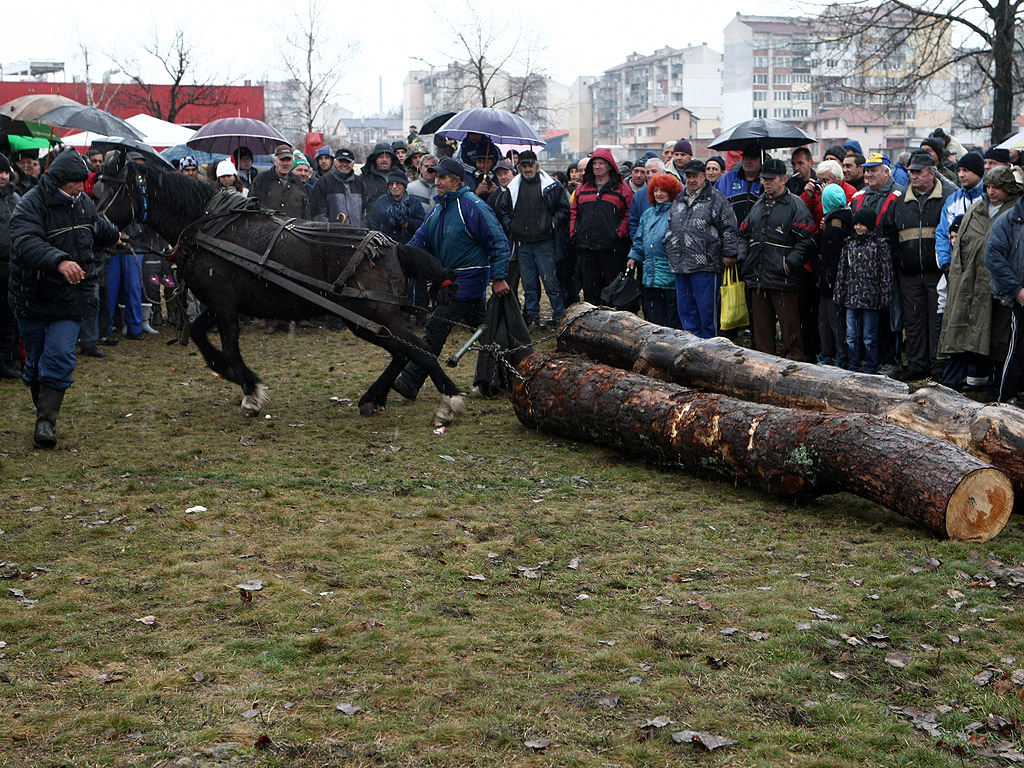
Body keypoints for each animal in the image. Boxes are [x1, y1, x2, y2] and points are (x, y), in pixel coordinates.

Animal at [96, 150, 464, 428]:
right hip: (366, 319)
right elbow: (202, 338)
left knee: (419, 349)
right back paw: (374, 397)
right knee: (403, 351)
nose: (97, 226)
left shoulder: (223, 302)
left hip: (371, 313)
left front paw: (251, 392)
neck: (207, 226)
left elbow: (229, 348)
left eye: (109, 188)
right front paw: (233, 375)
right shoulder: (221, 303)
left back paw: (448, 402)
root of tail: (394, 248)